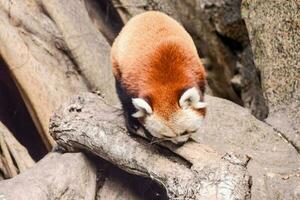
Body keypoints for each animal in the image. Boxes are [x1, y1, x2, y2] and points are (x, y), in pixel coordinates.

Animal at [111, 10, 207, 144]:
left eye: (185, 132)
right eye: (167, 136)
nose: (180, 143)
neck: (166, 82)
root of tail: (148, 13)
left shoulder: (198, 73)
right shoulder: (131, 80)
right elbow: (127, 100)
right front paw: (134, 122)